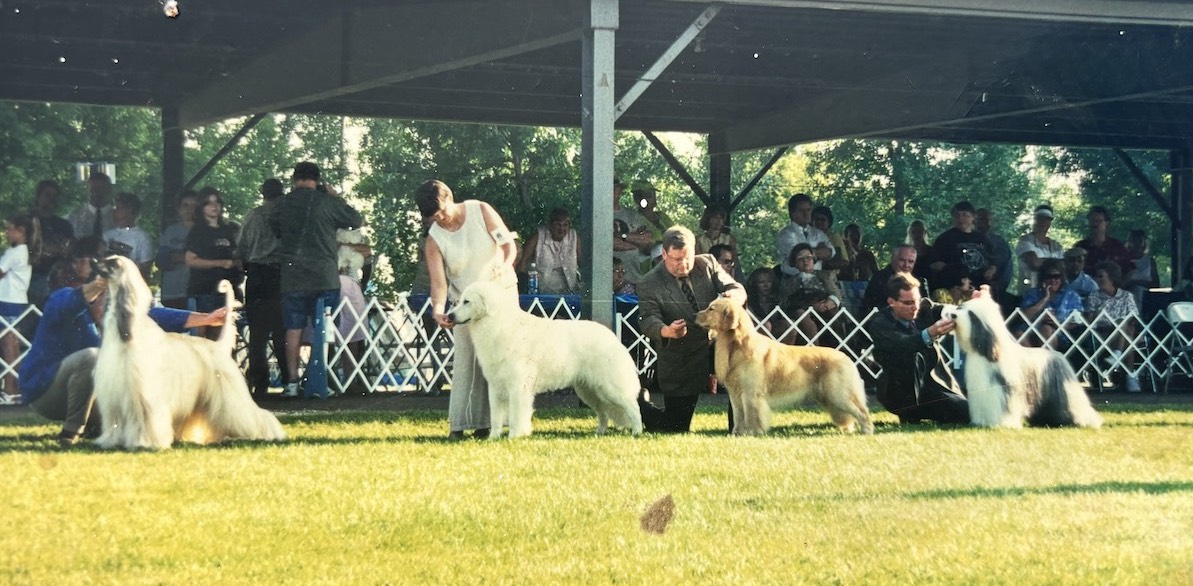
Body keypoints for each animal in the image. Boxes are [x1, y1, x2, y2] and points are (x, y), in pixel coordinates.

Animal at [92, 256, 287, 450]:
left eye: (111, 263)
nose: (94, 262)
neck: (128, 331)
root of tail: (219, 346)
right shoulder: (114, 396)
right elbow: (115, 422)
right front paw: (110, 441)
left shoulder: (143, 396)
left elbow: (145, 421)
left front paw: (145, 442)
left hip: (230, 395)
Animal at [446, 281, 642, 438]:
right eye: (459, 301)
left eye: (467, 301)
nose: (449, 316)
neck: (498, 324)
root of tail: (612, 337)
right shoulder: (495, 386)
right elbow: (495, 417)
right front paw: (493, 438)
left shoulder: (518, 387)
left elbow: (516, 414)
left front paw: (514, 436)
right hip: (590, 391)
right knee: (603, 414)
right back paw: (599, 433)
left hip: (609, 388)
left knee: (634, 408)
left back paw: (637, 432)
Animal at [695, 297, 873, 435]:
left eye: (711, 308)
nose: (694, 315)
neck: (736, 345)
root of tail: (847, 357)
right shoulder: (735, 394)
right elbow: (739, 416)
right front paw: (736, 434)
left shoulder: (751, 393)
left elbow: (752, 415)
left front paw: (753, 433)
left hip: (839, 394)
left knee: (862, 412)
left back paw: (867, 431)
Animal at [951, 294, 1102, 429]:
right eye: (960, 307)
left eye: (971, 314)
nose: (953, 316)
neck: (987, 352)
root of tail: (1057, 355)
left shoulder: (1004, 390)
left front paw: (1004, 424)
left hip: (1066, 391)